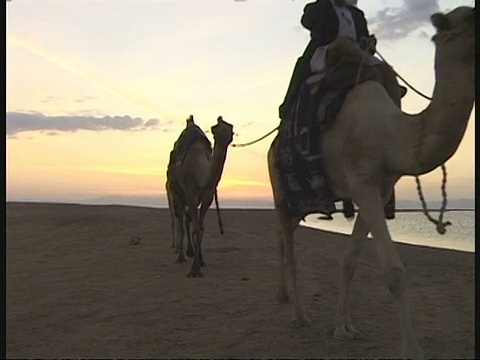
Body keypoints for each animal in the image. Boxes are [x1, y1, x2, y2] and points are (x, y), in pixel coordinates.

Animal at [167, 116, 234, 278]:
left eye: (230, 128)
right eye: (218, 126)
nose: (220, 118)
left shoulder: (207, 197)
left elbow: (201, 228)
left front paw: (201, 261)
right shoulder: (191, 193)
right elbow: (196, 228)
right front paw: (194, 269)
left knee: (187, 220)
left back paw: (191, 253)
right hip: (177, 193)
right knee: (180, 220)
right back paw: (181, 256)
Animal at [268, 6, 474, 360]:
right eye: (473, 23)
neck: (391, 134)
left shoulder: (377, 188)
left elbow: (349, 260)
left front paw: (344, 327)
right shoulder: (363, 183)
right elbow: (393, 272)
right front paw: (412, 349)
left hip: (299, 202)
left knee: (285, 237)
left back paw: (286, 297)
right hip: (282, 193)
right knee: (290, 249)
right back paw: (299, 315)